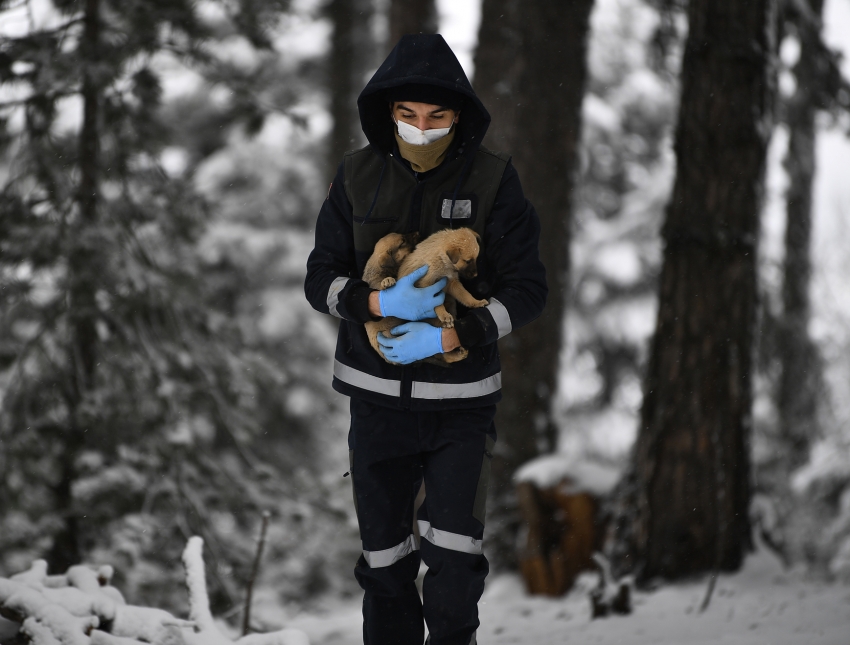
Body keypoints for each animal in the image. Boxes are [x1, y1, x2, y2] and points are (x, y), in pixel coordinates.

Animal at [362, 228, 486, 362]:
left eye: (475, 259)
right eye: (467, 261)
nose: (475, 275)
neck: (441, 258)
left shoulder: (451, 282)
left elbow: (465, 295)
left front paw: (476, 302)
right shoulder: (426, 284)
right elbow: (436, 303)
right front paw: (444, 314)